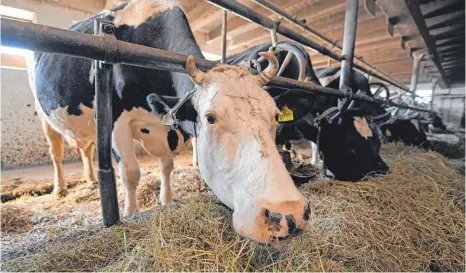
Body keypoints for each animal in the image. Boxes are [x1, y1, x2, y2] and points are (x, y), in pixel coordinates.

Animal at [28, 0, 310, 246]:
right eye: (210, 117)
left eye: (275, 116)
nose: (288, 214)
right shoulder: (115, 120)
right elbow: (131, 173)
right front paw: (130, 213)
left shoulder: (168, 128)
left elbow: (167, 166)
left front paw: (166, 201)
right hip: (45, 116)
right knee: (56, 152)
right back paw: (61, 189)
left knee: (85, 149)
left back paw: (90, 180)